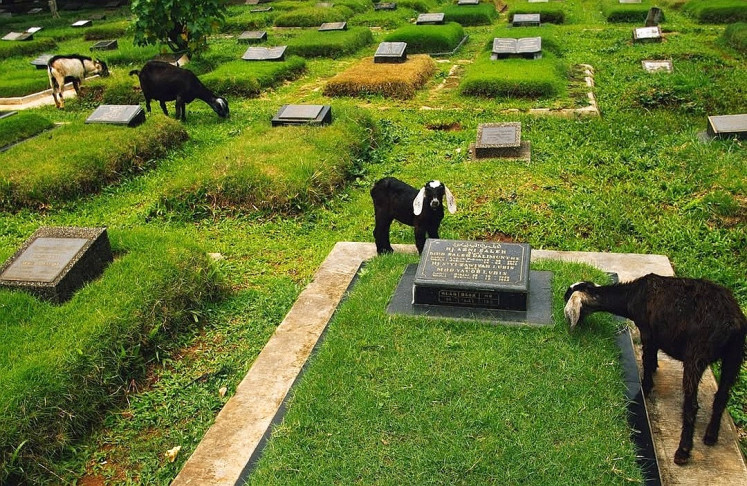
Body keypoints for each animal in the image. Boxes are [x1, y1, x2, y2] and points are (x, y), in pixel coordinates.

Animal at [564, 274, 747, 465]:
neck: (632, 295)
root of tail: (733, 324)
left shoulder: (647, 331)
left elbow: (647, 358)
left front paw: (645, 386)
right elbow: (652, 358)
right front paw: (653, 371)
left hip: (696, 355)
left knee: (692, 405)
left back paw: (682, 451)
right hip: (734, 356)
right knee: (722, 396)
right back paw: (711, 436)